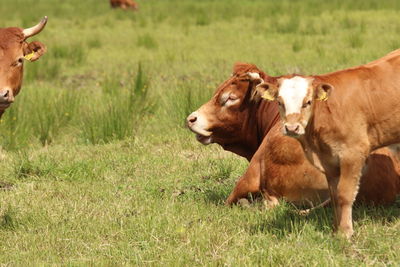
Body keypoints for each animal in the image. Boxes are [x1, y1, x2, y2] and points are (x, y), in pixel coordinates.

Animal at [255, 48, 400, 239]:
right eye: (280, 102)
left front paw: (345, 232)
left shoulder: (353, 154)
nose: (292, 128)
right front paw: (335, 229)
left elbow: (344, 194)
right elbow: (334, 195)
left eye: (308, 102)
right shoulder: (329, 161)